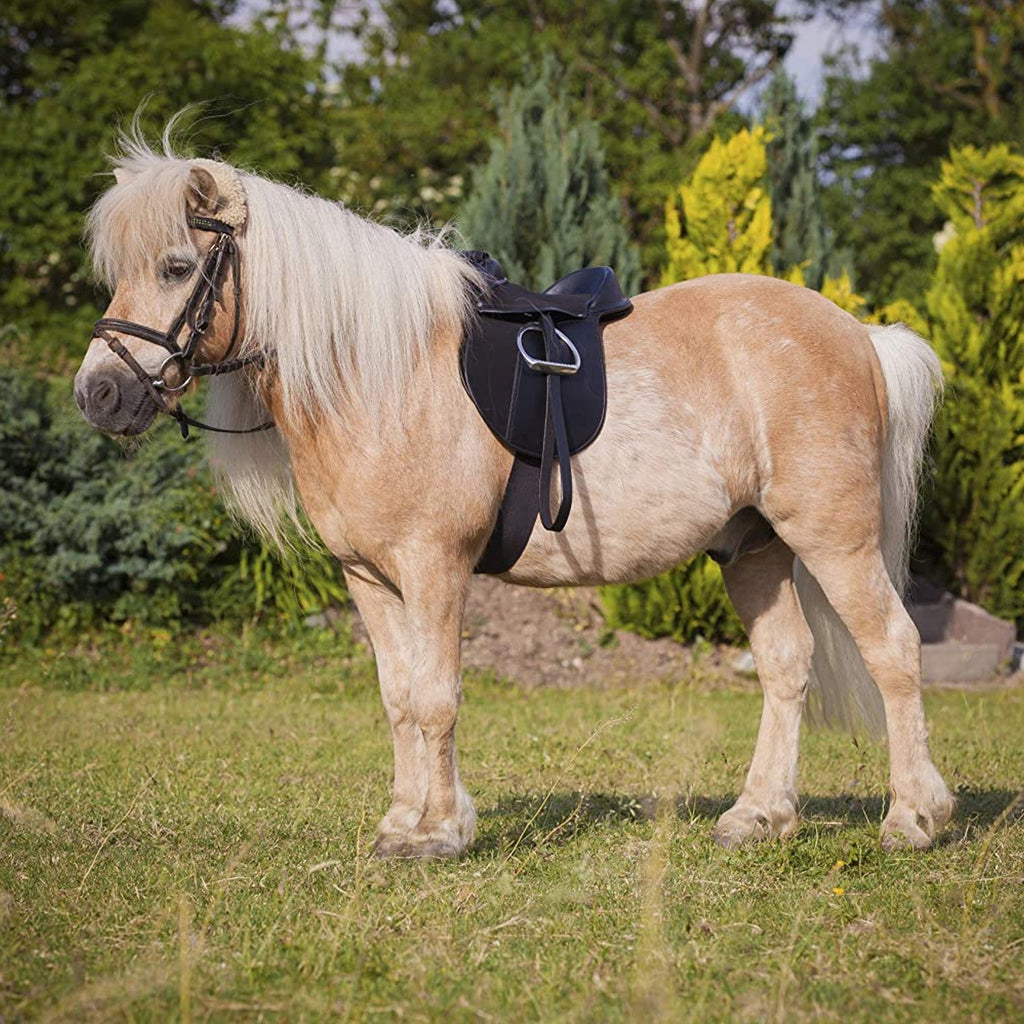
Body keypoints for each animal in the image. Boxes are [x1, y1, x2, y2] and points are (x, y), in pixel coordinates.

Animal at [73, 133, 955, 858]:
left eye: (177, 267)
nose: (99, 394)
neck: (381, 373)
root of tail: (861, 336)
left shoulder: (434, 567)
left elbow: (436, 697)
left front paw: (436, 834)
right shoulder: (368, 577)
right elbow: (398, 697)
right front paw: (403, 821)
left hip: (833, 540)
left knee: (895, 649)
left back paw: (913, 818)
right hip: (753, 547)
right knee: (785, 666)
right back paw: (759, 816)